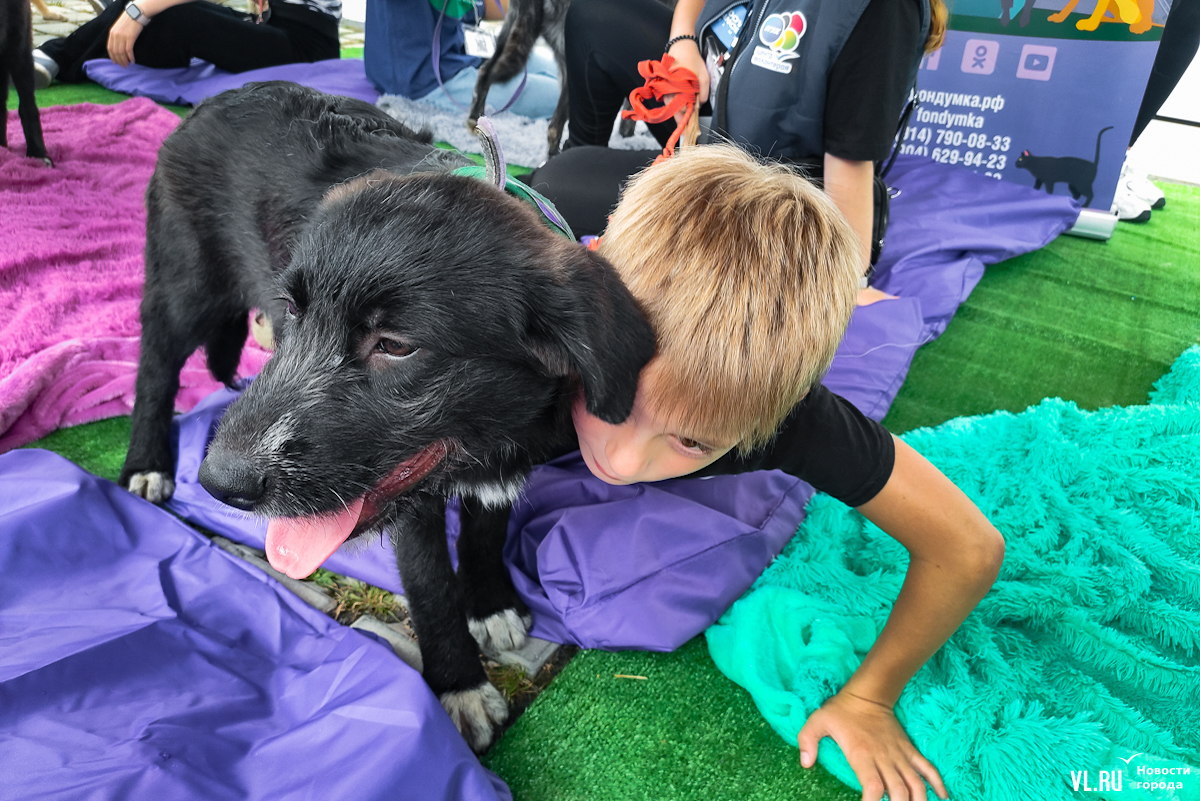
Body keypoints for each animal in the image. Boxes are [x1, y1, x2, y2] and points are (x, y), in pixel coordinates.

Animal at [121, 81, 657, 753]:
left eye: (396, 346)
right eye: (293, 310)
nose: (219, 483)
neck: (489, 431)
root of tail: (211, 100)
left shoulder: (503, 456)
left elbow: (487, 524)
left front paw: (490, 603)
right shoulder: (410, 502)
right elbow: (428, 581)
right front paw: (459, 684)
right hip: (184, 281)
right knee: (155, 364)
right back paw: (148, 464)